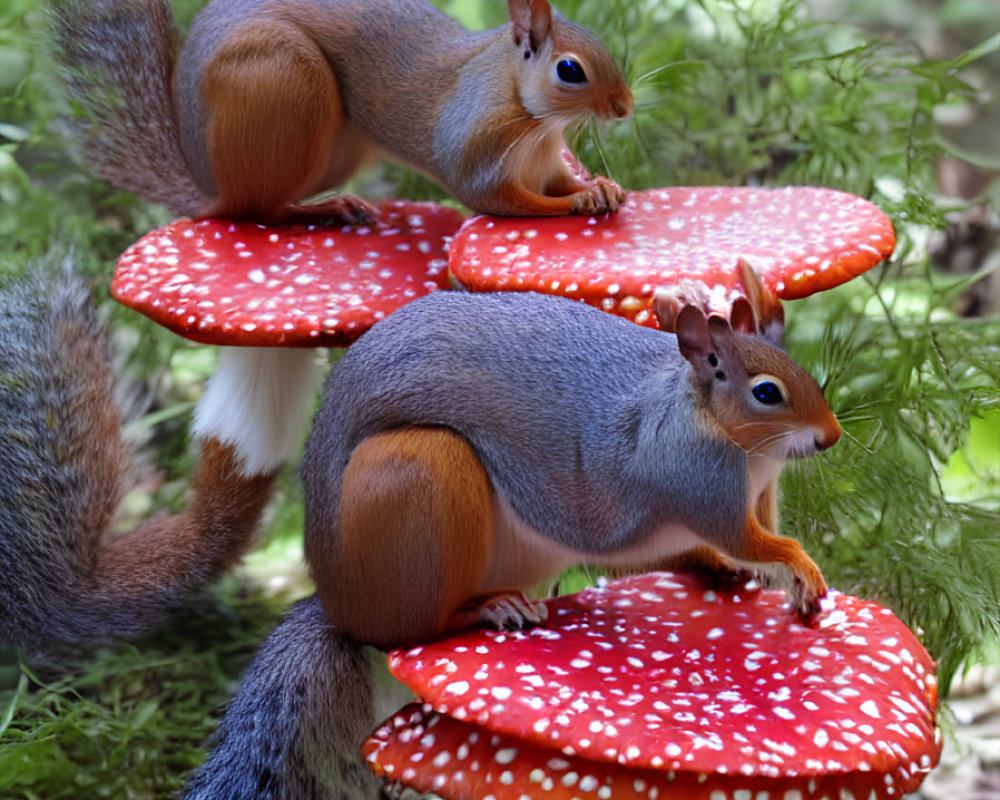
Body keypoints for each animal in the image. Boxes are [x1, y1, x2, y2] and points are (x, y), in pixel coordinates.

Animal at [47, 0, 632, 223]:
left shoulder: (546, 164)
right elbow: (508, 202)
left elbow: (559, 181)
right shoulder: (477, 156)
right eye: (570, 70)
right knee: (257, 209)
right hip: (284, 83)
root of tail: (210, 186)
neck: (535, 124)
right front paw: (578, 203)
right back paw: (321, 210)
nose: (624, 107)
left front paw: (599, 186)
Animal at [184, 276, 840, 800]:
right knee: (411, 629)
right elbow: (755, 541)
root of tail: (341, 605)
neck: (742, 447)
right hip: (422, 476)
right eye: (766, 392)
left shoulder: (756, 496)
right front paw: (801, 569)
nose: (831, 437)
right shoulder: (696, 482)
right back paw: (484, 611)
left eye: (808, 373)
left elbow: (742, 541)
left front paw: (746, 572)